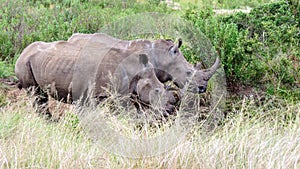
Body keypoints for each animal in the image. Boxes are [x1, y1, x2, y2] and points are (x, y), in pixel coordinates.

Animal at [14, 40, 178, 119]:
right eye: (157, 91)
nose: (171, 110)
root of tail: (24, 51)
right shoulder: (103, 94)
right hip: (24, 62)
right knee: (37, 95)